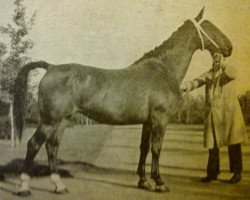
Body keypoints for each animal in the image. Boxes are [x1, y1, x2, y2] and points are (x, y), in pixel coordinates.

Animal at [13, 7, 232, 195]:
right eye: (209, 25)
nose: (229, 47)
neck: (164, 69)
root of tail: (50, 67)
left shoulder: (148, 122)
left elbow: (144, 148)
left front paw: (143, 182)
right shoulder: (160, 120)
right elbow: (156, 149)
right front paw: (159, 183)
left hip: (62, 121)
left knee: (52, 147)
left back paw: (59, 186)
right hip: (50, 121)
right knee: (33, 144)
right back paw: (24, 187)